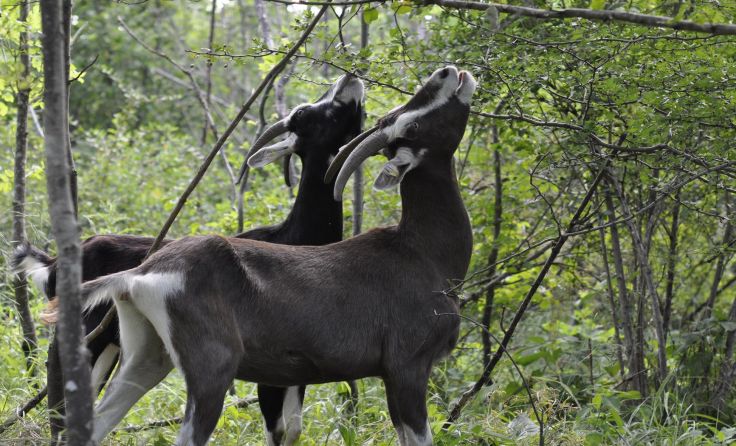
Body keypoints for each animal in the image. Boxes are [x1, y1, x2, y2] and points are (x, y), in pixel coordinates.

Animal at [11, 74, 365, 446]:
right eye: (303, 113)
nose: (349, 78)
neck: (294, 235)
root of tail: (51, 265)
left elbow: (294, 428)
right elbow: (279, 428)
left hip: (114, 345)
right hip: (83, 334)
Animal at [77, 66, 476, 446]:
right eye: (413, 124)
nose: (447, 73)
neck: (422, 252)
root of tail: (139, 274)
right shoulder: (407, 368)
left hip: (146, 357)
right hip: (210, 369)